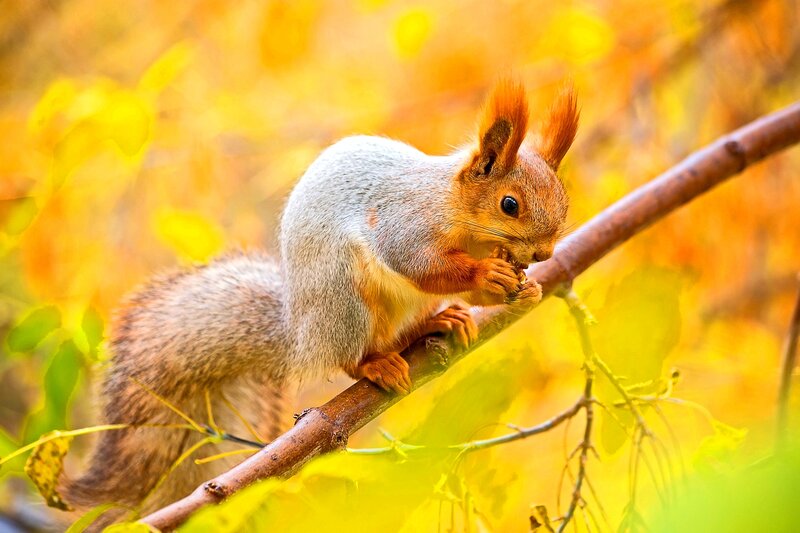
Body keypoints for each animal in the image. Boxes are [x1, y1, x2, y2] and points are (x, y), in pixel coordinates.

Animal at [60, 79, 578, 524]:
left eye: (564, 201)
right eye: (509, 204)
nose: (544, 254)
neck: (460, 215)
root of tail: (302, 335)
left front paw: (526, 288)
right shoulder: (404, 223)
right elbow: (419, 264)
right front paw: (487, 275)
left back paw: (438, 324)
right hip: (345, 298)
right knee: (348, 356)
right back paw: (375, 364)